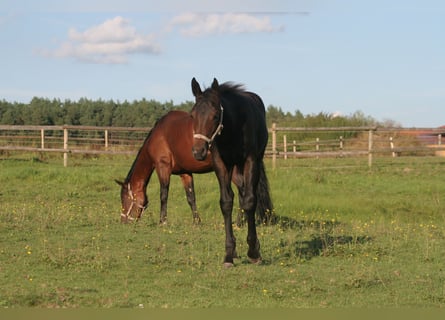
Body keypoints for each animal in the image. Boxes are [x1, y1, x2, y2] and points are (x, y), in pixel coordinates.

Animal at [189, 78, 272, 268]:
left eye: (214, 116)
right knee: (240, 192)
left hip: (252, 163)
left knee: (248, 194)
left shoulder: (250, 161)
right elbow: (226, 202)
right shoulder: (221, 164)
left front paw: (254, 252)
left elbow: (250, 201)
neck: (233, 129)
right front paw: (228, 254)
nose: (198, 152)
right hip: (234, 167)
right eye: (192, 115)